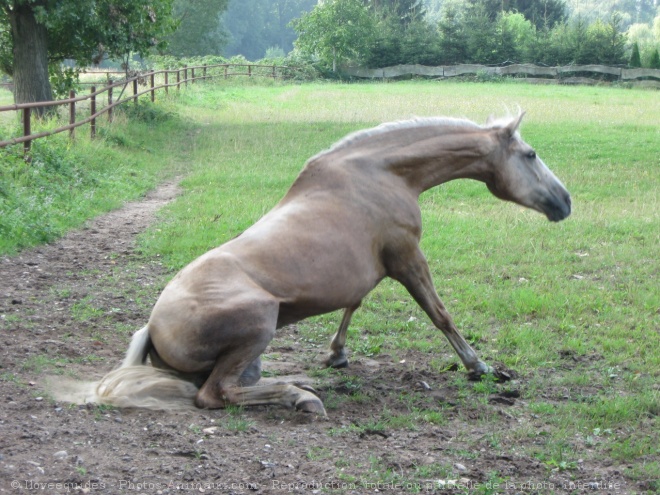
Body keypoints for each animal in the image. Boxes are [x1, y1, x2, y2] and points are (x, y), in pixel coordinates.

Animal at [54, 112, 568, 414]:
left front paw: (335, 355)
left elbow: (353, 305)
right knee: (215, 394)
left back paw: (299, 380)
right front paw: (479, 366)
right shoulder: (406, 258)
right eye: (530, 154)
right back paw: (300, 396)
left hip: (252, 351)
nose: (565, 202)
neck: (381, 173)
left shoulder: (370, 268)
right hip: (260, 321)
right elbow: (439, 313)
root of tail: (154, 326)